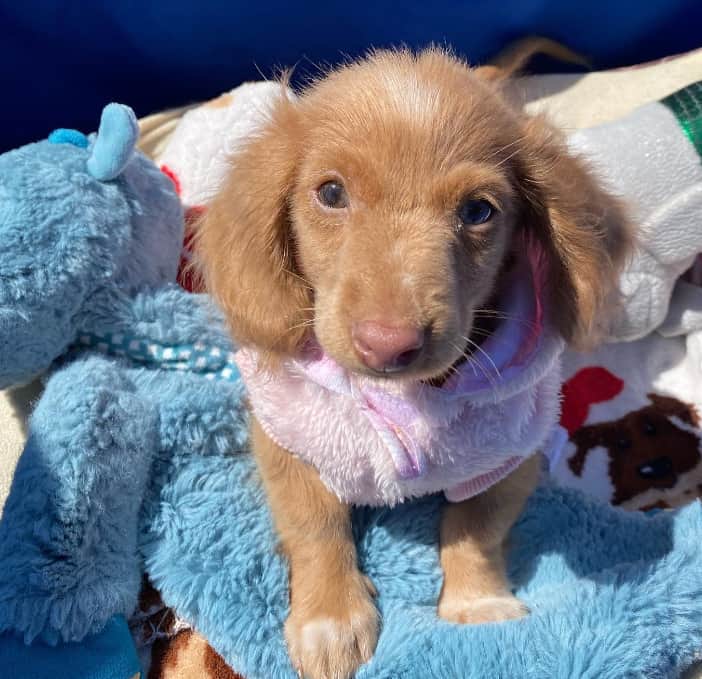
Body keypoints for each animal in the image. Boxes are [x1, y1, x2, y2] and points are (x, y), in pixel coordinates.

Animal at [197, 49, 632, 679]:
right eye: (331, 193)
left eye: (479, 210)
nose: (387, 345)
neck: (409, 397)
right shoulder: (291, 442)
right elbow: (315, 527)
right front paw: (330, 618)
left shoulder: (507, 457)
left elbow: (475, 528)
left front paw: (478, 603)